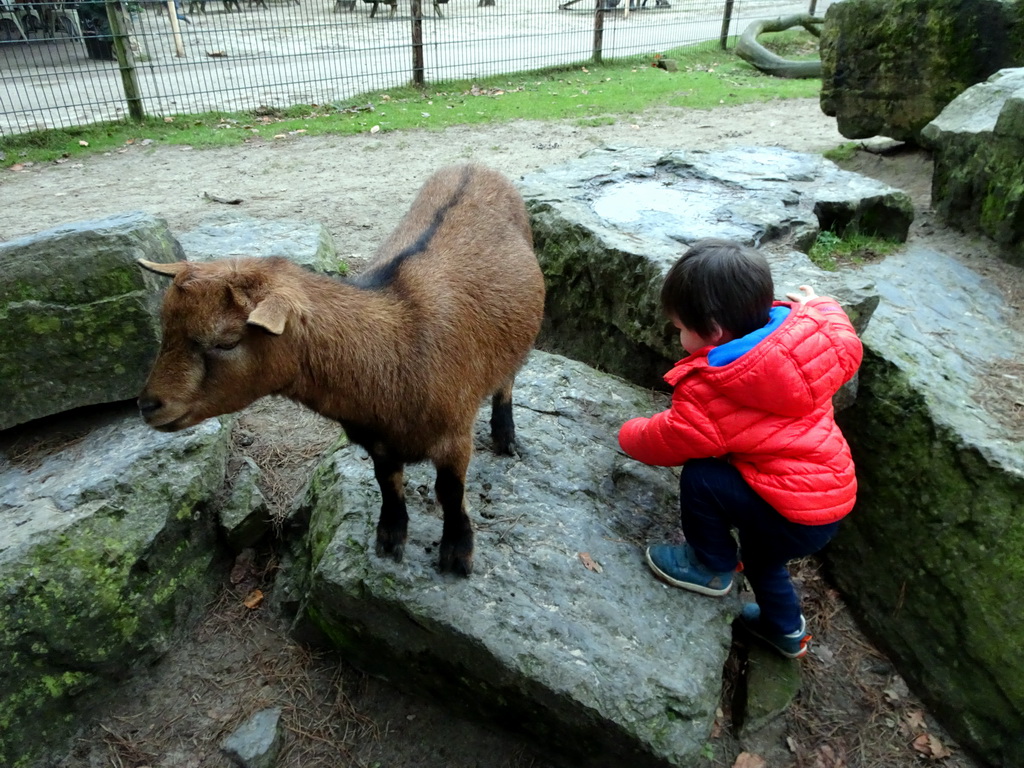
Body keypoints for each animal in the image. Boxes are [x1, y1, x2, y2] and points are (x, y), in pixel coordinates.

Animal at [142, 166, 552, 577]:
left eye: (227, 342)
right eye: (165, 327)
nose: (148, 405)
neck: (396, 348)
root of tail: (474, 167)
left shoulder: (454, 432)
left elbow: (450, 492)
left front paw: (457, 553)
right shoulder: (376, 440)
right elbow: (388, 482)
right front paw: (389, 538)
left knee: (507, 381)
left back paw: (505, 438)